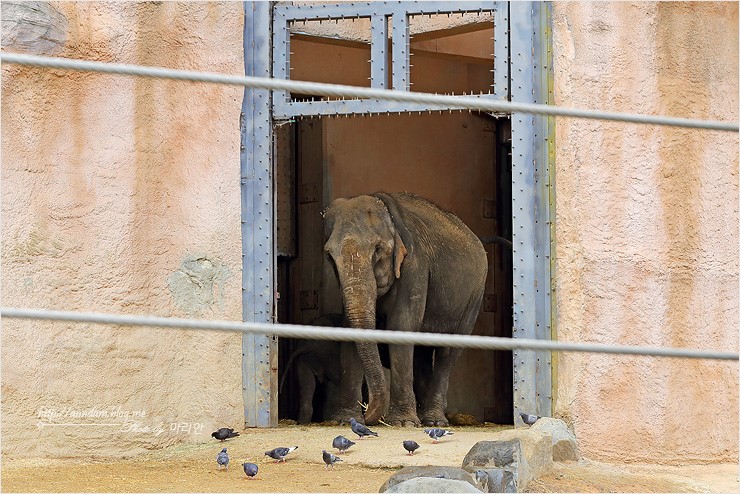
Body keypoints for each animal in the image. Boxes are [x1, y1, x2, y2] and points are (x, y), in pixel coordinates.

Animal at [322, 191, 486, 426]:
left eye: (378, 249)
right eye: (329, 255)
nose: (368, 415)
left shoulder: (414, 267)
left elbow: (402, 324)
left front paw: (403, 423)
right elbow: (349, 329)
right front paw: (346, 420)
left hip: (474, 297)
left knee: (448, 352)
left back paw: (434, 421)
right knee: (422, 353)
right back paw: (424, 417)